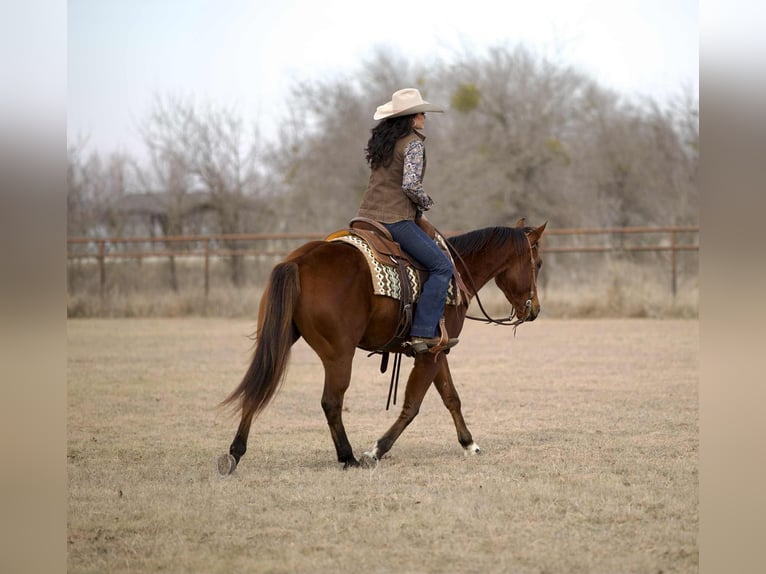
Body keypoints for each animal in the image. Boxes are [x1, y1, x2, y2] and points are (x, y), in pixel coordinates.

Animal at [218, 218, 547, 474]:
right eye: (539, 263)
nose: (535, 310)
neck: (456, 274)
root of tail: (297, 262)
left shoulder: (438, 351)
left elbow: (451, 397)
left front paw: (469, 444)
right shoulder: (430, 355)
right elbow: (413, 405)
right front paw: (375, 450)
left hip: (279, 340)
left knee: (258, 387)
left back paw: (234, 453)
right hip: (339, 354)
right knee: (331, 402)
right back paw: (347, 457)